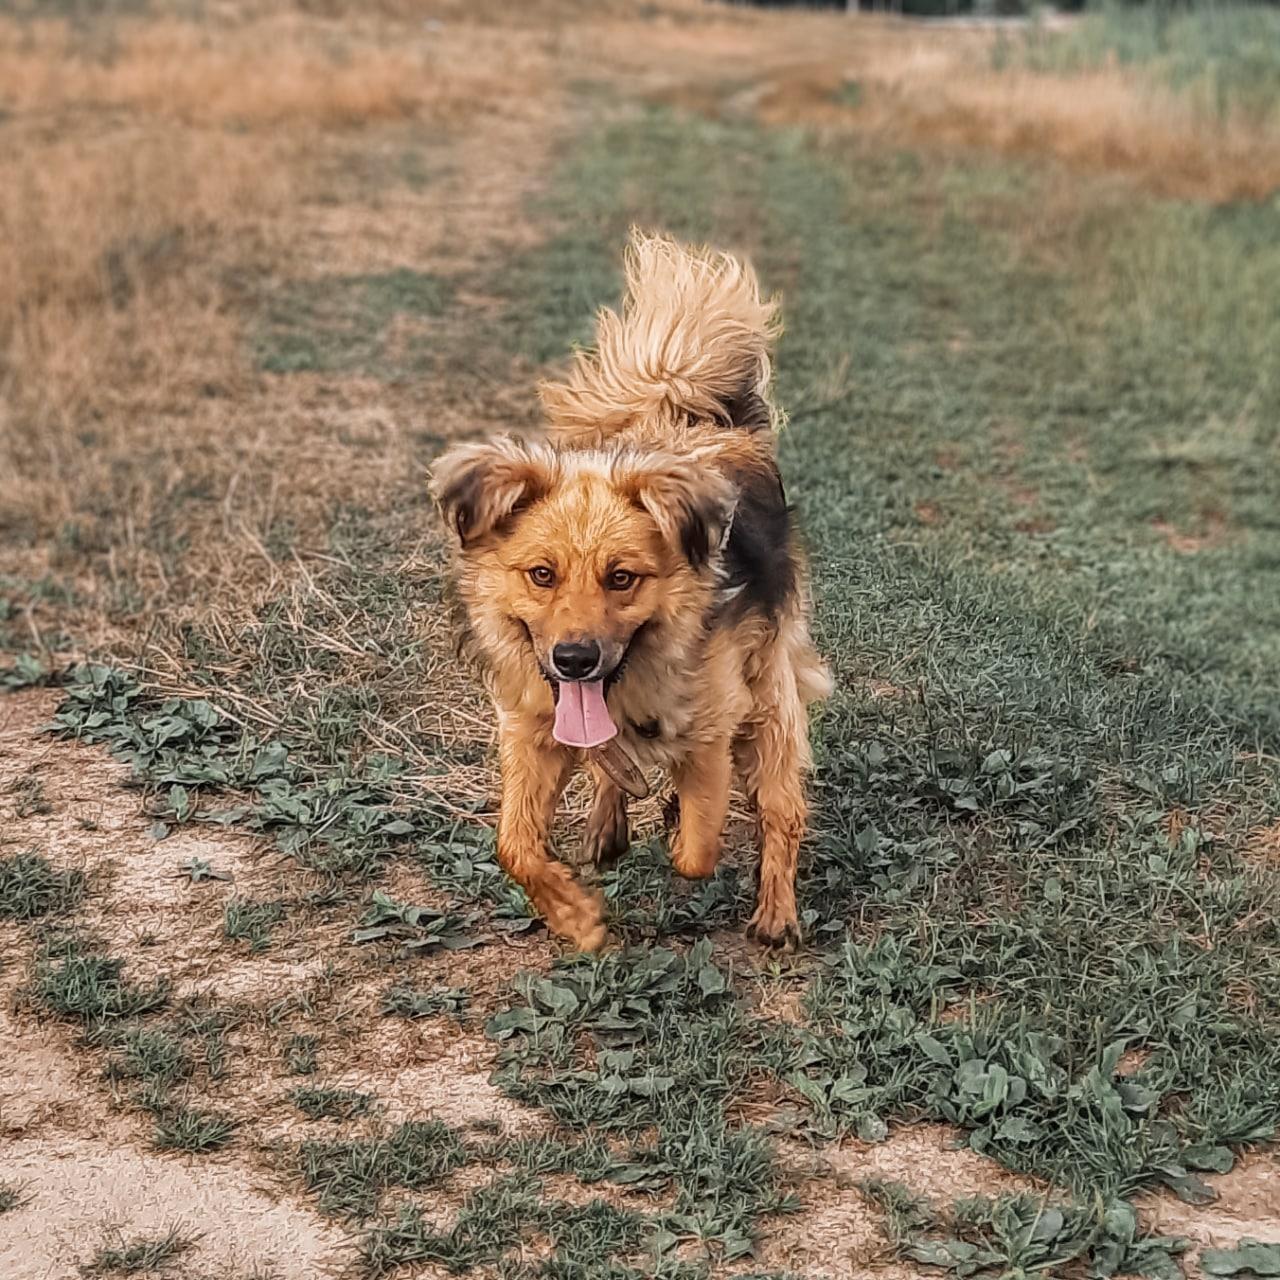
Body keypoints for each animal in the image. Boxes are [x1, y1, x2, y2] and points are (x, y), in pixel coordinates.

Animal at [430, 230, 829, 952]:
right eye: (541, 574)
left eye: (623, 577)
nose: (574, 660)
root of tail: (687, 412)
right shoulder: (532, 727)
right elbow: (515, 844)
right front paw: (574, 915)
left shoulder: (715, 722)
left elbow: (697, 845)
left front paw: (676, 823)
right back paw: (607, 825)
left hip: (772, 695)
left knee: (780, 807)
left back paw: (775, 913)